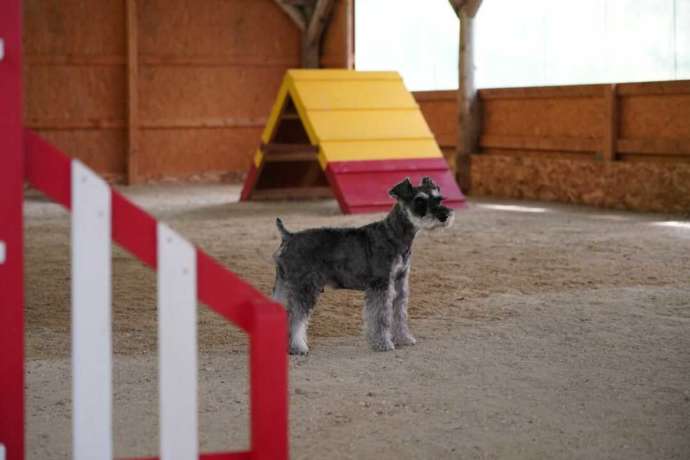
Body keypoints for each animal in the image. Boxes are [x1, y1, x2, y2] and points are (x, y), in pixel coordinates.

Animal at [272, 178, 454, 354]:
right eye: (420, 201)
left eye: (439, 198)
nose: (444, 215)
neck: (393, 234)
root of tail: (289, 236)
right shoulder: (381, 285)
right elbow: (381, 316)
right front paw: (383, 343)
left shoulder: (399, 284)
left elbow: (399, 313)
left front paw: (404, 338)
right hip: (304, 288)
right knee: (295, 317)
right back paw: (297, 347)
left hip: (284, 286)